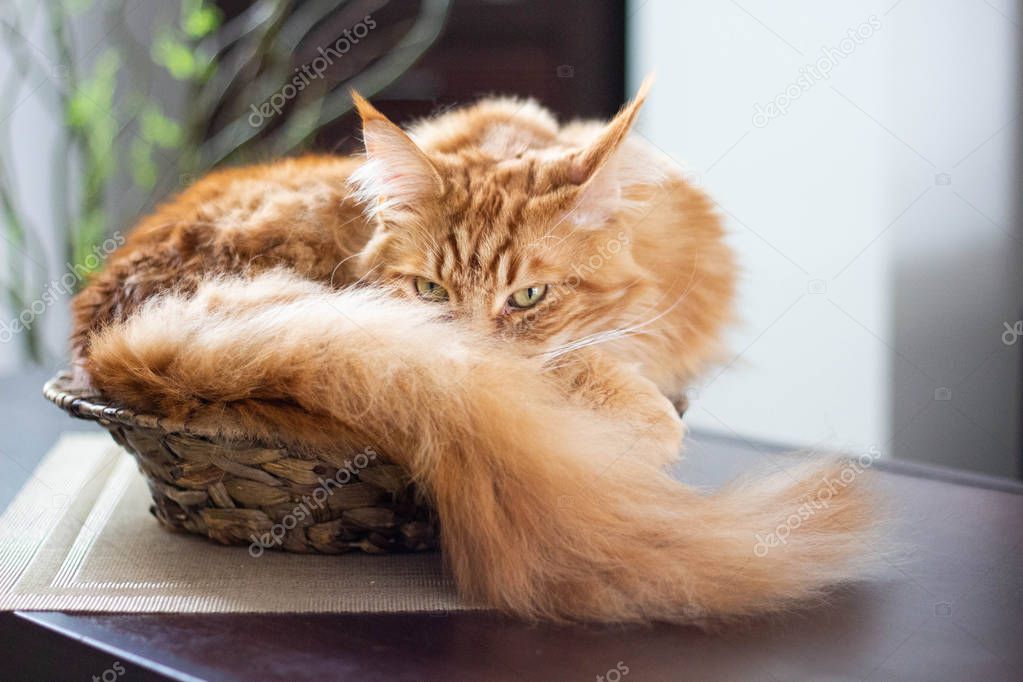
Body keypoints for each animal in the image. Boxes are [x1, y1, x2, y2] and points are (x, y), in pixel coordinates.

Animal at [70, 78, 879, 625]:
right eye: (430, 290)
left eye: (528, 297)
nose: (461, 353)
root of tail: (107, 335)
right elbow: (597, 378)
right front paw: (638, 416)